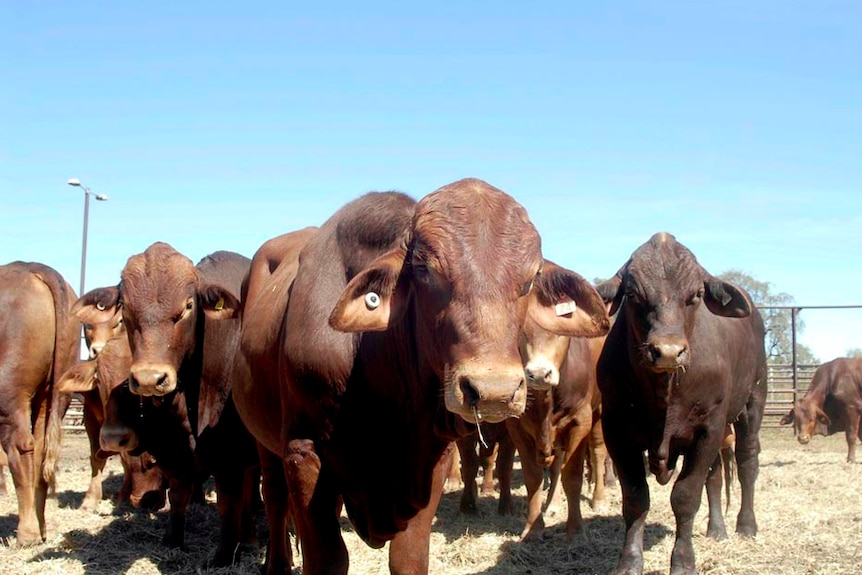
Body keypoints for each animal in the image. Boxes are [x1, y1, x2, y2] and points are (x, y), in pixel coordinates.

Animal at [0, 264, 79, 548]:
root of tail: (31, 268)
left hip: (10, 392)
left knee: (20, 448)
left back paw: (28, 534)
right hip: (54, 392)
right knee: (42, 450)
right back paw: (41, 528)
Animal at [79, 246, 258, 568]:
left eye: (188, 305)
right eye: (125, 308)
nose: (149, 378)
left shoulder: (229, 455)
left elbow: (229, 504)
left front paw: (224, 556)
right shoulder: (175, 450)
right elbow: (177, 494)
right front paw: (173, 540)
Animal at [236, 180, 616, 575]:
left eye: (529, 280)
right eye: (425, 271)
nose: (494, 391)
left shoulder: (433, 458)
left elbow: (408, 558)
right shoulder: (304, 452)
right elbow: (327, 558)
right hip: (266, 442)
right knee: (275, 499)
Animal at [596, 233, 768, 575]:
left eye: (696, 295)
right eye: (632, 294)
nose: (668, 351)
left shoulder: (707, 428)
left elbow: (686, 497)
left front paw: (684, 561)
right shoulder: (617, 430)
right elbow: (635, 498)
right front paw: (629, 562)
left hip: (753, 402)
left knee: (747, 462)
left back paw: (746, 525)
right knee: (715, 476)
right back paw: (717, 529)